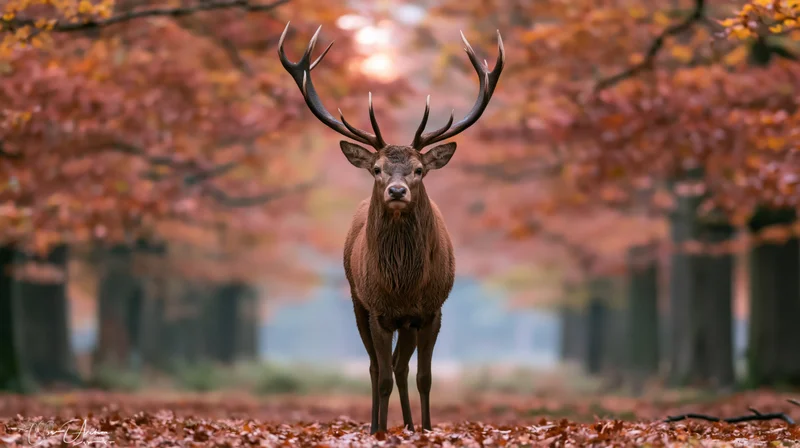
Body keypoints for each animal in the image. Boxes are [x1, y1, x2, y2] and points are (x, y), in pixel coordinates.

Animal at [278, 22, 504, 434]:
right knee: (375, 367)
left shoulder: (431, 309)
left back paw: (411, 426)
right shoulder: (378, 309)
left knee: (401, 367)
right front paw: (381, 431)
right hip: (357, 301)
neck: (402, 284)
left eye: (419, 169)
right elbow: (381, 375)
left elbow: (423, 377)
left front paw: (427, 429)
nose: (396, 191)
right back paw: (376, 424)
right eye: (377, 168)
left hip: (407, 322)